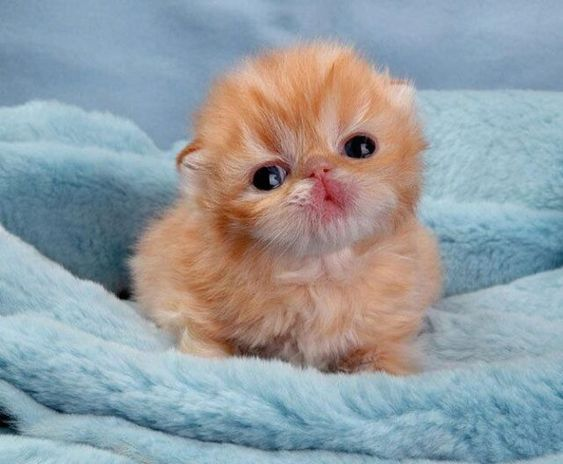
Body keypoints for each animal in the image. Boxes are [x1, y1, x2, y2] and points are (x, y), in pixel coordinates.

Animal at [131, 42, 440, 374]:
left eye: (360, 147)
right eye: (268, 178)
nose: (318, 169)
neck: (321, 272)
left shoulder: (386, 334)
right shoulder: (189, 302)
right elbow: (207, 342)